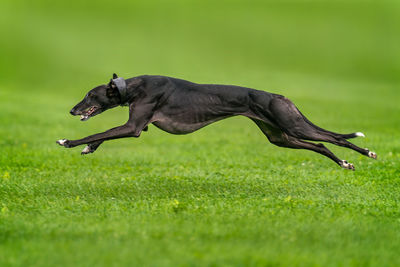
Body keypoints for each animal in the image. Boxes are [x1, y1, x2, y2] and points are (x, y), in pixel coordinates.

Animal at [57, 74, 376, 170]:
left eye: (90, 95)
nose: (72, 110)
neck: (134, 87)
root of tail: (280, 96)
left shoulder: (134, 128)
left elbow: (99, 132)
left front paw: (68, 141)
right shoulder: (139, 125)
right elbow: (101, 135)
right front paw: (88, 148)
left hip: (292, 125)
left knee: (337, 138)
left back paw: (367, 153)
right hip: (280, 136)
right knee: (321, 145)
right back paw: (345, 163)